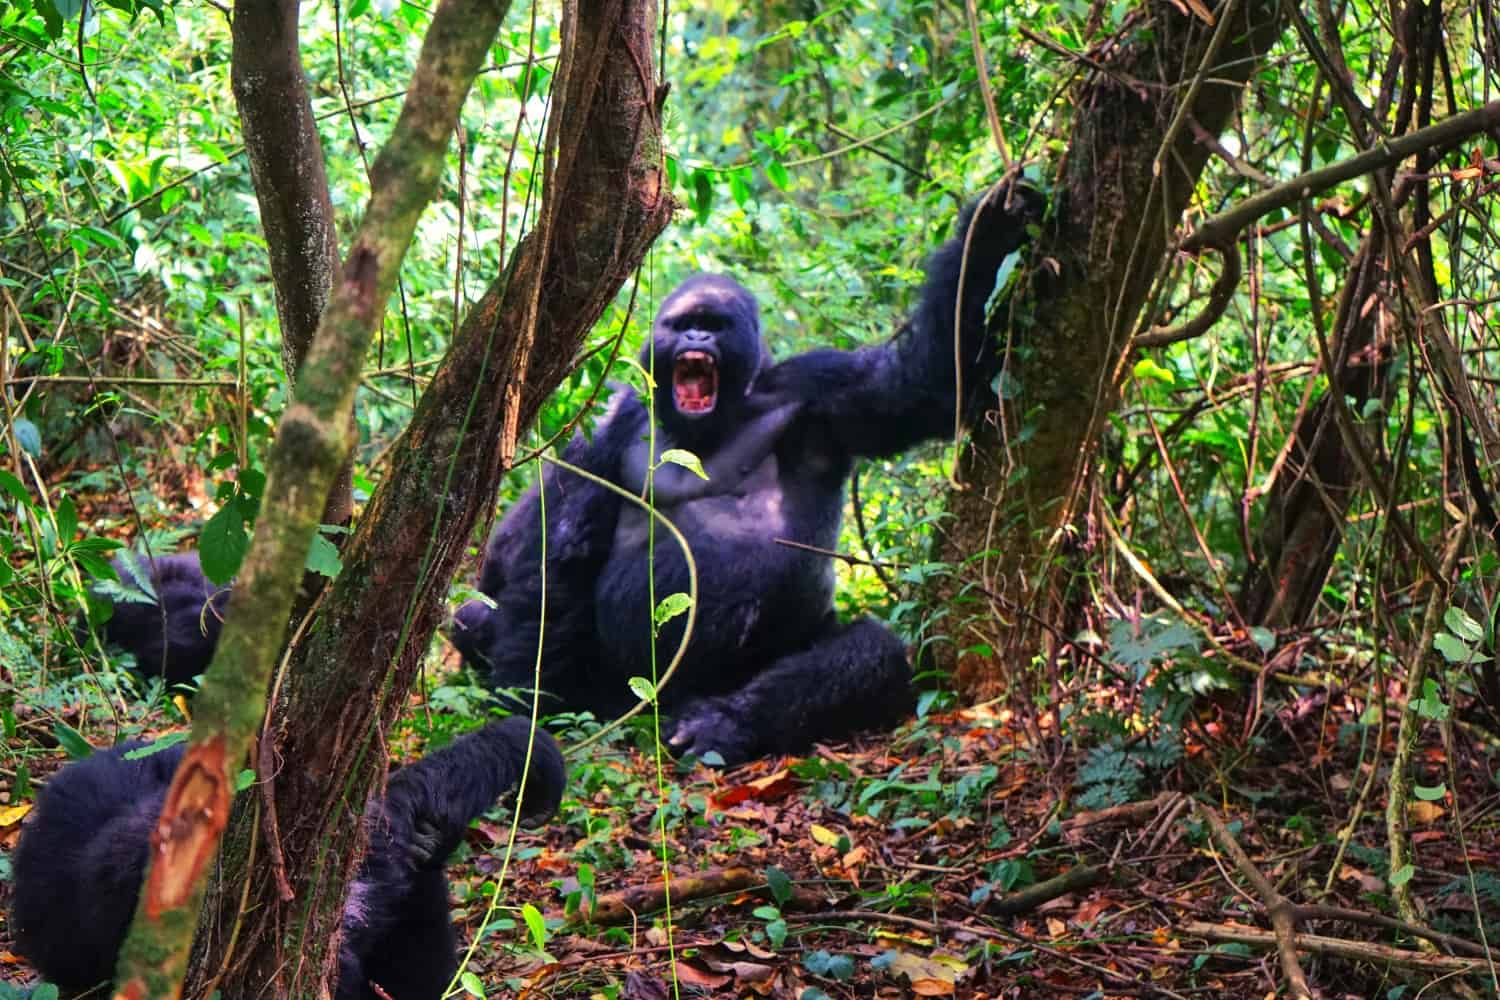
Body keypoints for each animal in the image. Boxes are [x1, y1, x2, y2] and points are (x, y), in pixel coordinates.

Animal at [450, 183, 1050, 761]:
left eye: (713, 326)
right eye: (682, 325)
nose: (696, 342)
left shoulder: (821, 387)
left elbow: (925, 383)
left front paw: (995, 227)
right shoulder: (601, 427)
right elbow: (562, 553)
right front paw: (528, 704)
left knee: (873, 652)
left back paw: (724, 723)